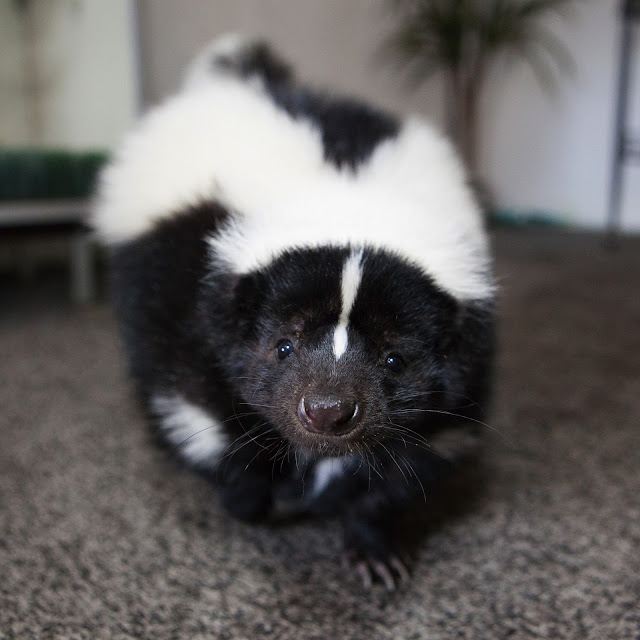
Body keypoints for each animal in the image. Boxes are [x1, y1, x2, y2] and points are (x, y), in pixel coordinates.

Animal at [94, 36, 496, 592]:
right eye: (283, 345)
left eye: (395, 359)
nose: (327, 409)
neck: (347, 193)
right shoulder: (183, 292)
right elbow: (202, 404)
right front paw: (254, 492)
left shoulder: (468, 348)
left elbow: (416, 452)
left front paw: (371, 543)